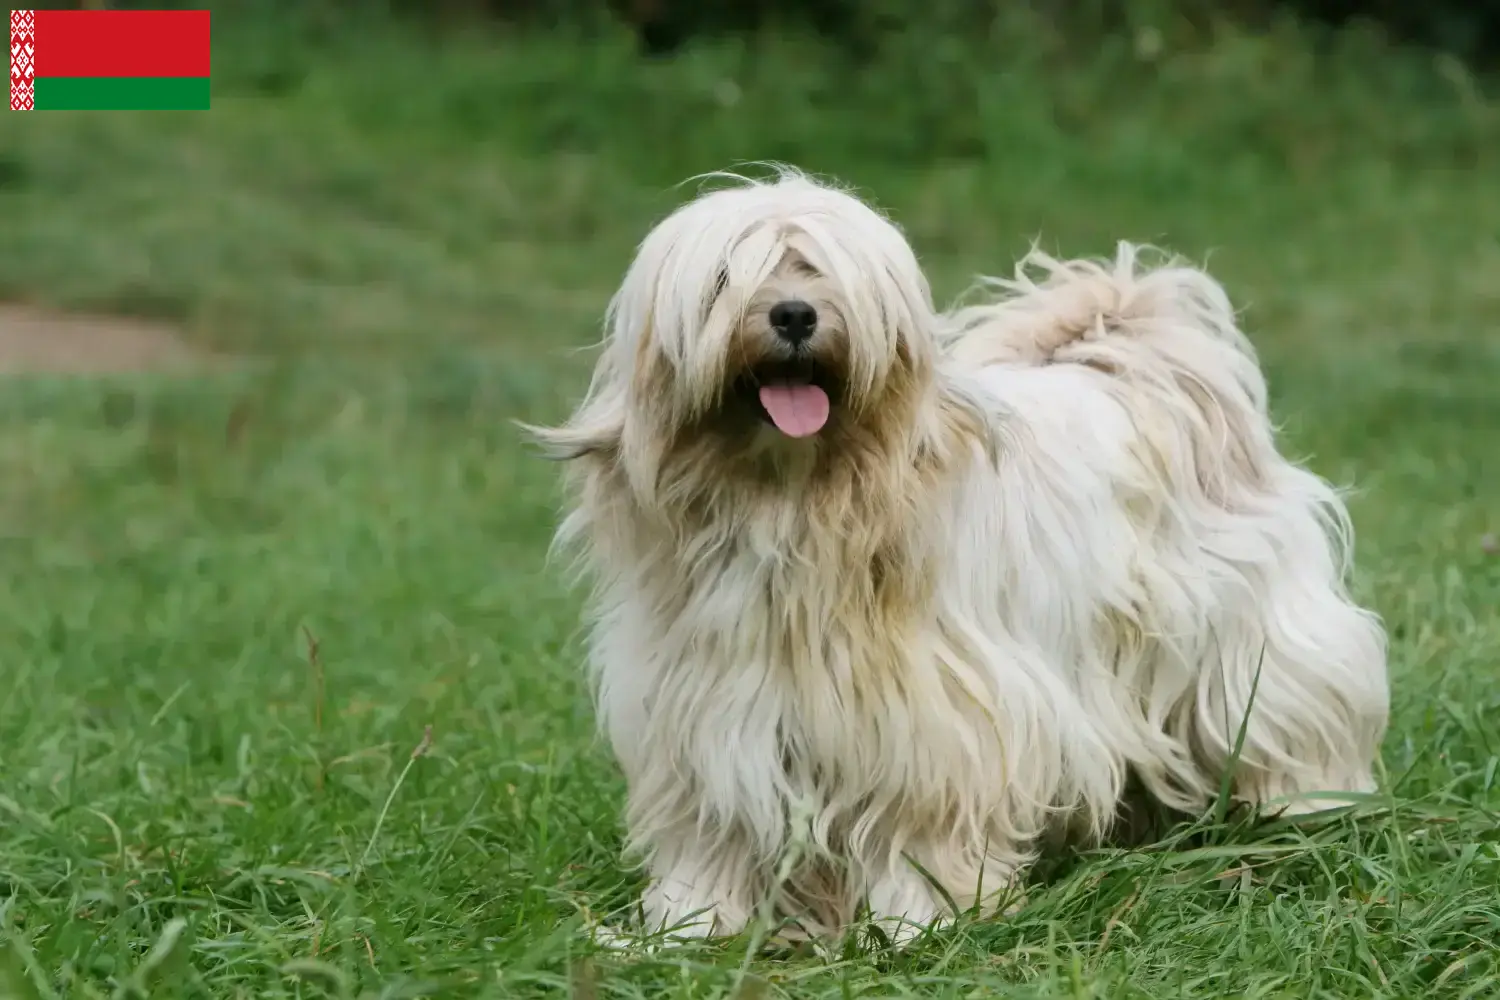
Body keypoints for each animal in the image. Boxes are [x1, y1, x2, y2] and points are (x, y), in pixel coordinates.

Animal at [525, 166, 1380, 947]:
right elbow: (710, 830)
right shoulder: (703, 715)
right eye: (727, 277)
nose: (795, 312)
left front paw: (922, 923)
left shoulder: (942, 717)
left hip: (1253, 646)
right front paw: (691, 925)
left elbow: (922, 825)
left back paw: (1303, 811)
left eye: (825, 272)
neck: (794, 506)